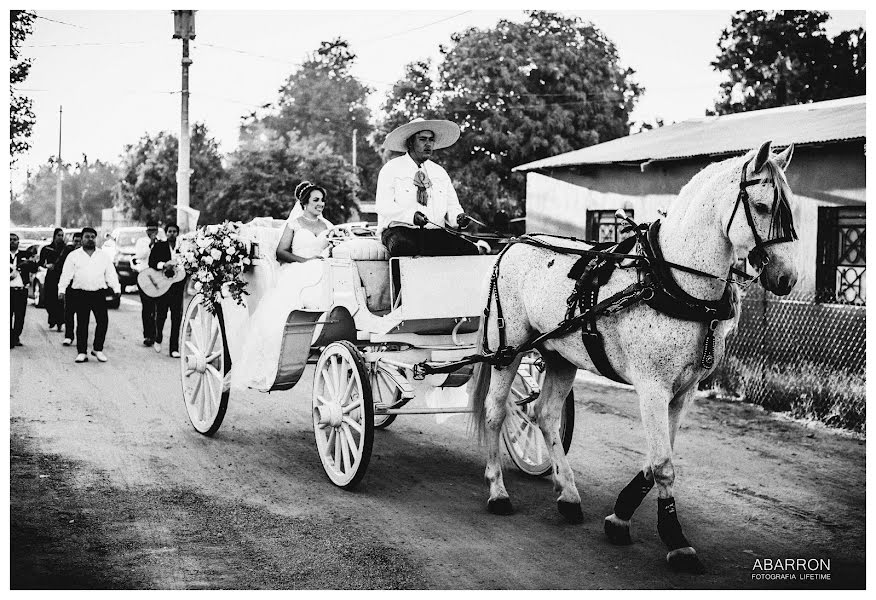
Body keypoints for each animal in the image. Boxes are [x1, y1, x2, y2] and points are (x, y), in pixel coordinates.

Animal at [472, 139, 800, 572]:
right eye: (762, 207)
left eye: (790, 206)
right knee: (496, 411)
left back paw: (568, 493)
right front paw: (674, 538)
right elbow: (663, 464)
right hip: (507, 350)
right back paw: (497, 490)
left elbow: (657, 457)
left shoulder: (684, 392)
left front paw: (621, 513)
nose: (788, 278)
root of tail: (512, 244)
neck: (672, 280)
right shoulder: (652, 388)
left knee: (544, 414)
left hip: (560, 355)